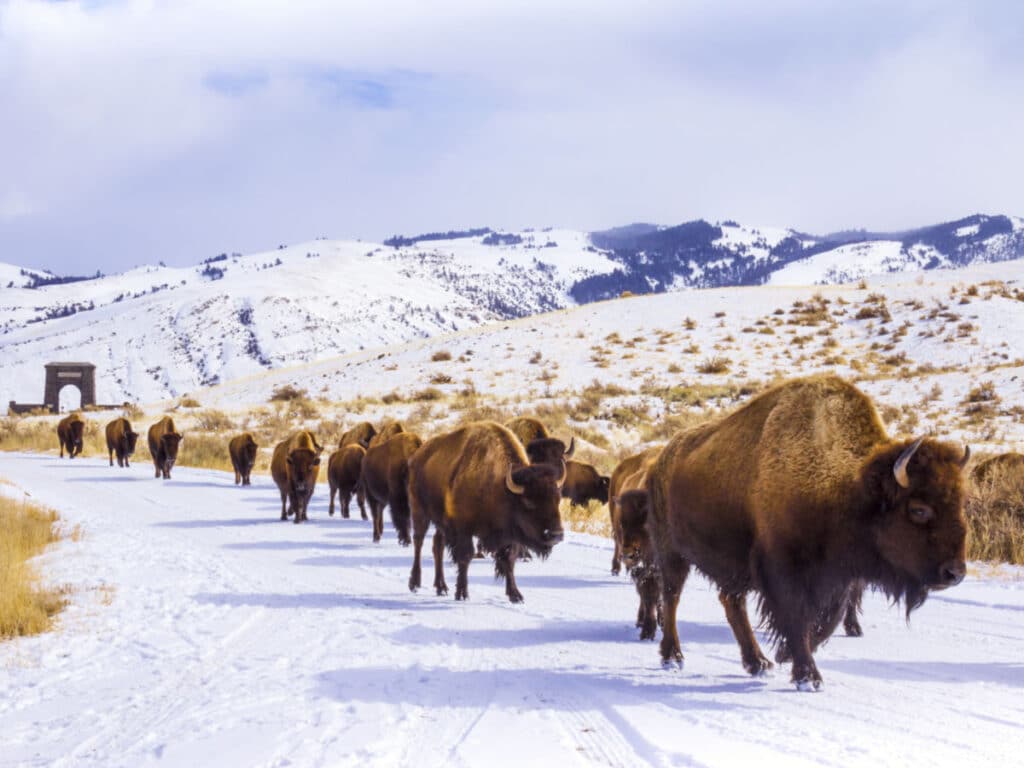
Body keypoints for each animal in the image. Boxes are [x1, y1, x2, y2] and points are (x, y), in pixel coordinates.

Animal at [408, 421, 566, 603]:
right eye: (528, 501)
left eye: (558, 499)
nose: (555, 534)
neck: (500, 487)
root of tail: (418, 456)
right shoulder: (463, 530)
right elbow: (465, 557)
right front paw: (462, 593)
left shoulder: (509, 537)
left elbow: (508, 560)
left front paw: (515, 595)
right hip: (419, 511)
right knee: (418, 542)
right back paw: (414, 583)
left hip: (440, 522)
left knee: (437, 545)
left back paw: (441, 587)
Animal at [646, 375, 969, 690]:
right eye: (919, 509)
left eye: (962, 503)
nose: (955, 573)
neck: (846, 487)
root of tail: (659, 461)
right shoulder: (783, 570)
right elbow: (797, 618)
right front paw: (808, 677)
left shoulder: (837, 578)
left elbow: (828, 620)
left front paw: (785, 655)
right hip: (671, 553)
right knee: (671, 598)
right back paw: (673, 657)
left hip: (731, 565)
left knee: (731, 602)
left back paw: (757, 662)